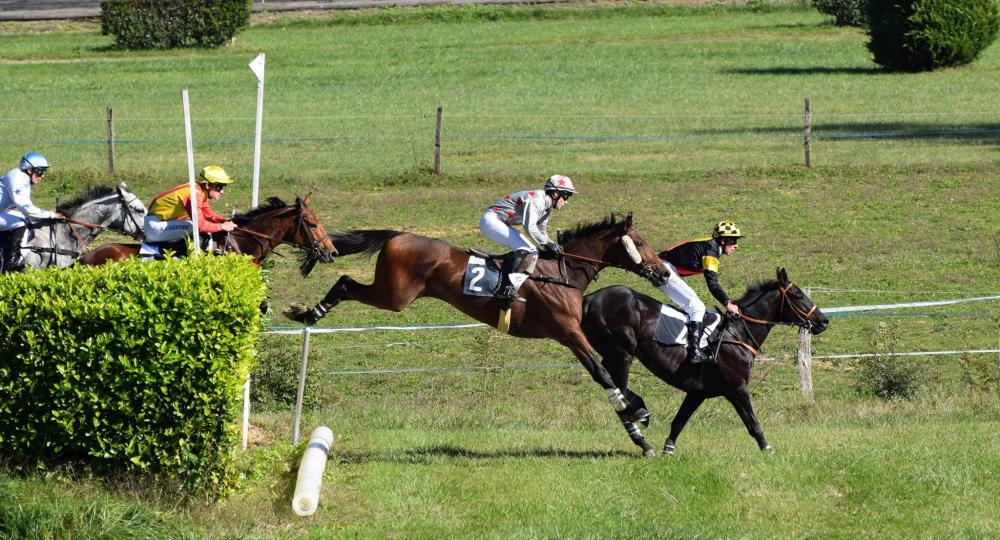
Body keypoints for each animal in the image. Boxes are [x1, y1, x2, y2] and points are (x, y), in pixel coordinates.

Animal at [284, 213, 672, 424]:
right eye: (639, 242)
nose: (664, 272)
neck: (563, 274)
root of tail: (398, 235)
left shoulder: (570, 335)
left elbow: (603, 369)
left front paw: (635, 406)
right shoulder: (567, 331)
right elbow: (601, 371)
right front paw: (631, 409)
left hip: (392, 294)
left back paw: (308, 313)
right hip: (394, 297)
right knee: (345, 282)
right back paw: (310, 312)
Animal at [580, 266, 828, 456]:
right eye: (797, 294)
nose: (823, 321)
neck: (738, 333)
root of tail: (588, 299)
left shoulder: (698, 392)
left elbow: (679, 421)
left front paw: (668, 449)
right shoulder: (737, 388)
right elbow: (752, 422)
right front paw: (767, 448)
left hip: (613, 352)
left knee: (605, 379)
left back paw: (639, 410)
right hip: (622, 352)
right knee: (614, 387)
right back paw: (640, 430)